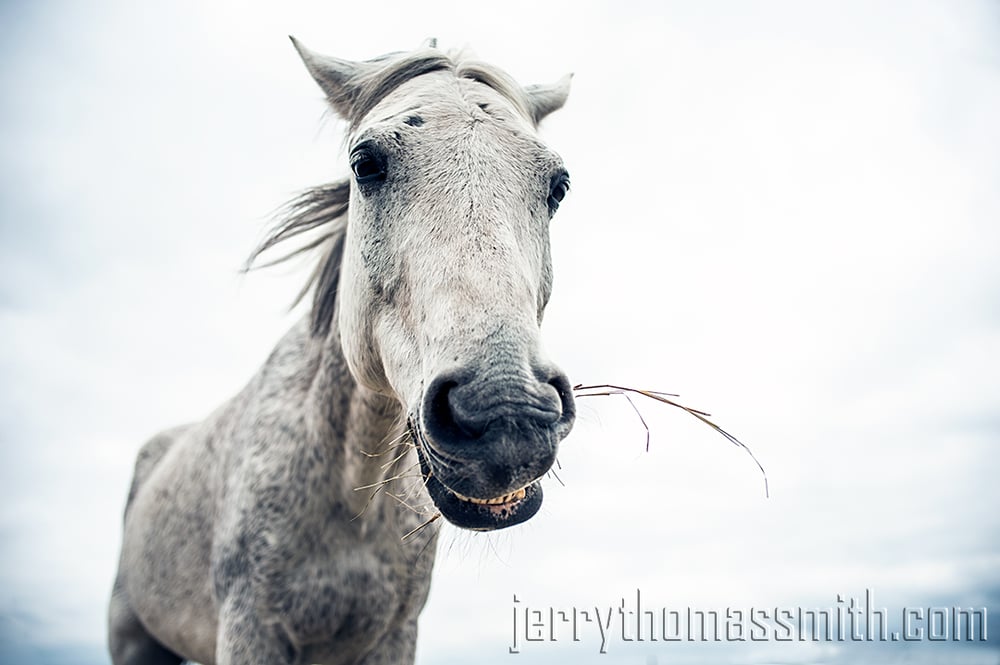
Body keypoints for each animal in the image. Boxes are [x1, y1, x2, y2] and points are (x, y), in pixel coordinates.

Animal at [107, 37, 580, 664]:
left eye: (558, 186)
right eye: (365, 164)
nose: (507, 410)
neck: (352, 495)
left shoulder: (393, 637)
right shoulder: (250, 629)